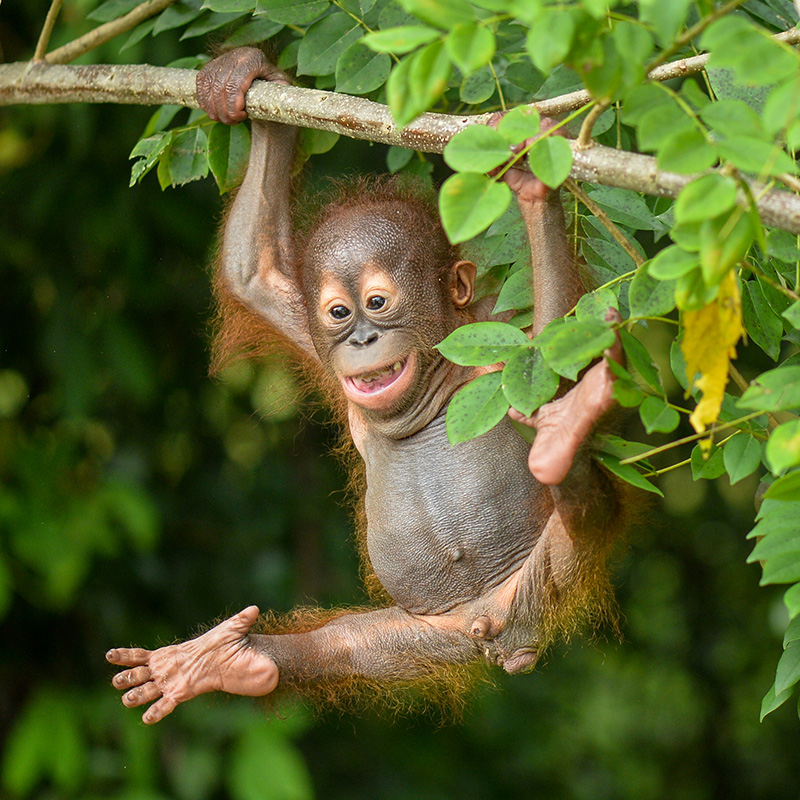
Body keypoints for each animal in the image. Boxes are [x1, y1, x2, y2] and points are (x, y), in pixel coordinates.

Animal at [106, 47, 626, 724]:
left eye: (378, 302)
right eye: (337, 312)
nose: (359, 340)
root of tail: (499, 632)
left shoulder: (499, 340)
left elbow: (552, 357)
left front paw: (534, 184)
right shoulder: (308, 334)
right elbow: (253, 275)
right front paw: (246, 80)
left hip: (545, 580)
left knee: (584, 519)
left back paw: (563, 440)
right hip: (430, 635)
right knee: (348, 648)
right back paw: (226, 660)